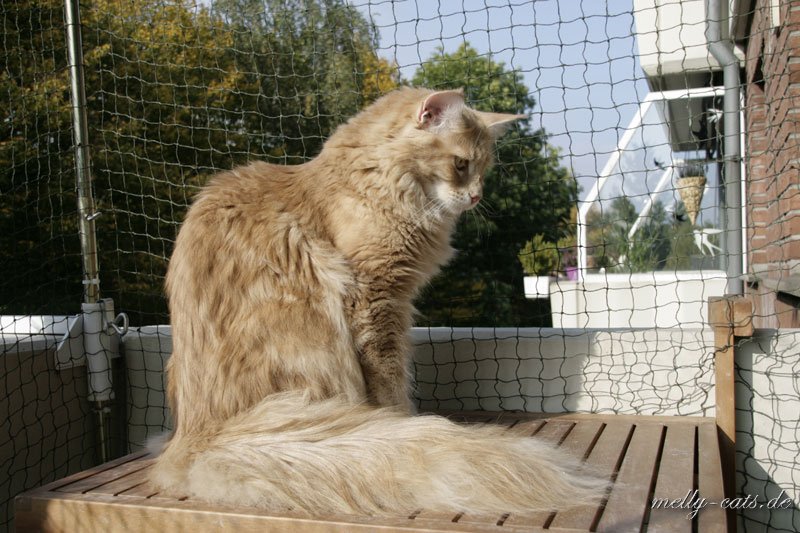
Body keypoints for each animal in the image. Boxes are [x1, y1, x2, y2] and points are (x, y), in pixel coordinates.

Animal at [151, 87, 603, 516]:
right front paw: (401, 420)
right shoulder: (376, 297)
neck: (375, 184)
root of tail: (199, 436)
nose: (476, 198)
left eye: (484, 171)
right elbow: (389, 379)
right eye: (461, 165)